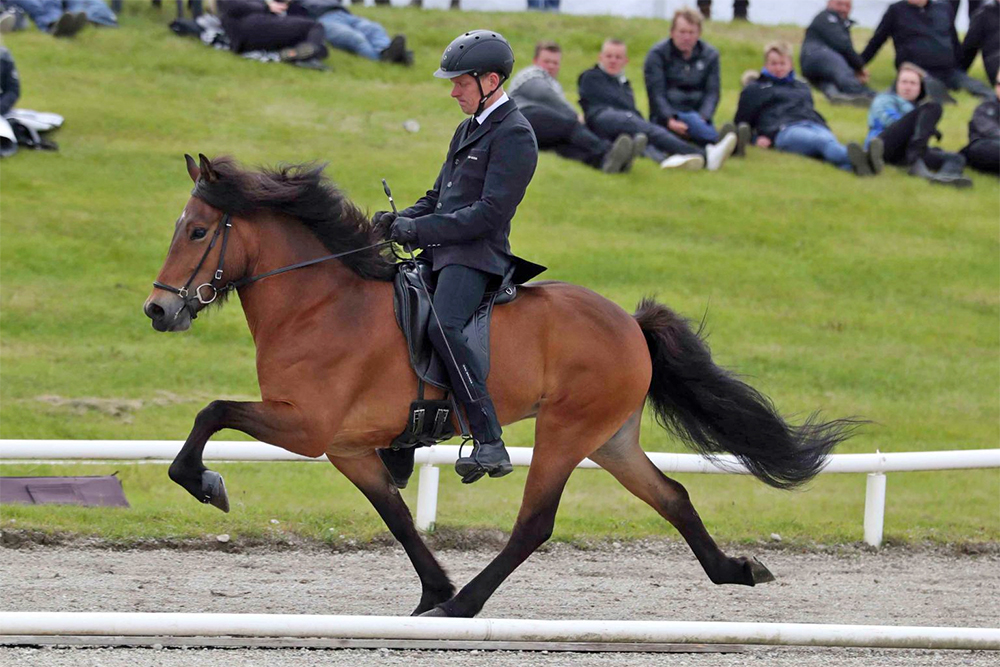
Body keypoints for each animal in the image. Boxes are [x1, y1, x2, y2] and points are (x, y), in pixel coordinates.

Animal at [143, 154, 860, 620]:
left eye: (198, 230)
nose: (158, 311)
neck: (318, 302)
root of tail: (629, 323)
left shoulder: (306, 424)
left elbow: (212, 411)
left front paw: (205, 482)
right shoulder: (345, 445)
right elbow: (395, 514)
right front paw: (431, 589)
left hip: (565, 430)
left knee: (535, 522)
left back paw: (468, 603)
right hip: (610, 437)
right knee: (673, 496)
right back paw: (735, 569)